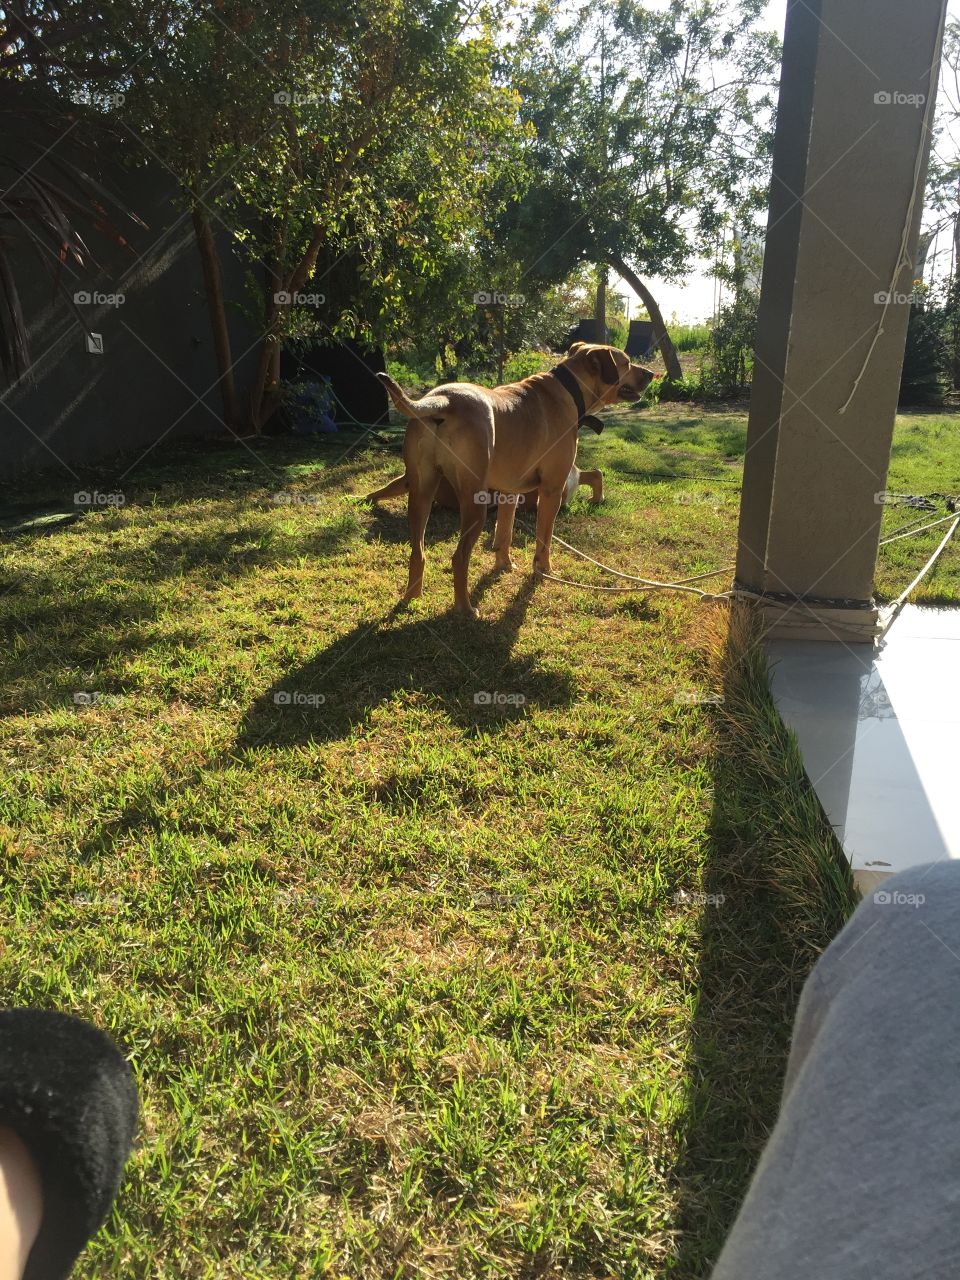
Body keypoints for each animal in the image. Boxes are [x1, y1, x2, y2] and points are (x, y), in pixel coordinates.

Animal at [376, 343, 655, 616]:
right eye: (626, 362)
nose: (652, 374)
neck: (568, 388)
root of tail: (442, 401)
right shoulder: (551, 490)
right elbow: (544, 540)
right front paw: (544, 570)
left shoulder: (509, 492)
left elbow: (504, 534)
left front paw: (504, 565)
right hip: (473, 503)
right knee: (459, 557)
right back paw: (464, 609)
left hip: (421, 493)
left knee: (417, 552)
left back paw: (412, 597)